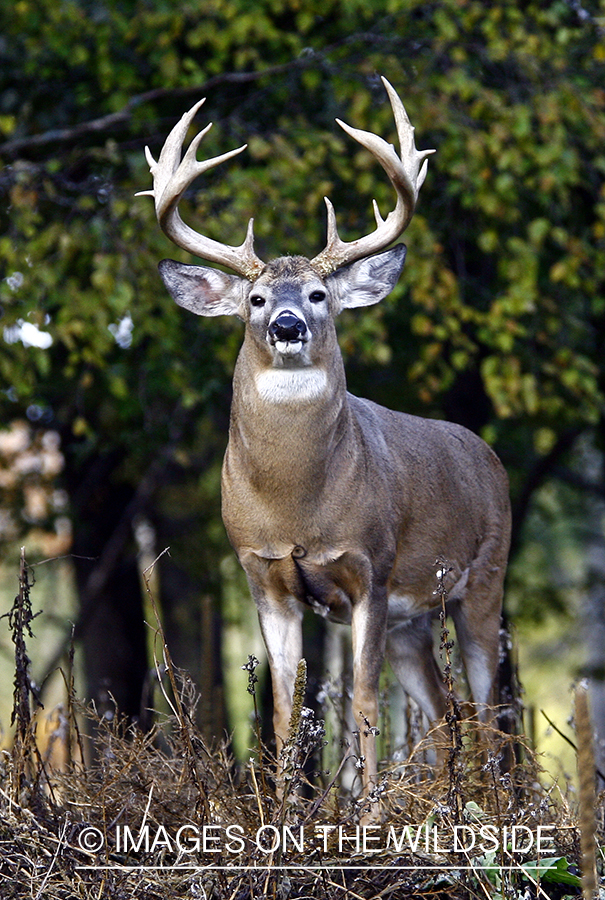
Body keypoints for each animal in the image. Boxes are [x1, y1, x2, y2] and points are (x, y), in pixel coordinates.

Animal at [139, 79, 512, 816]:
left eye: (317, 294)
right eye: (255, 298)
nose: (286, 324)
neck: (296, 505)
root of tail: (486, 454)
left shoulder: (370, 565)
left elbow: (363, 703)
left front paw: (366, 816)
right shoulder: (262, 574)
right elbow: (284, 712)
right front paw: (284, 817)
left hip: (484, 581)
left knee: (482, 710)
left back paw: (487, 810)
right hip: (412, 622)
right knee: (444, 711)